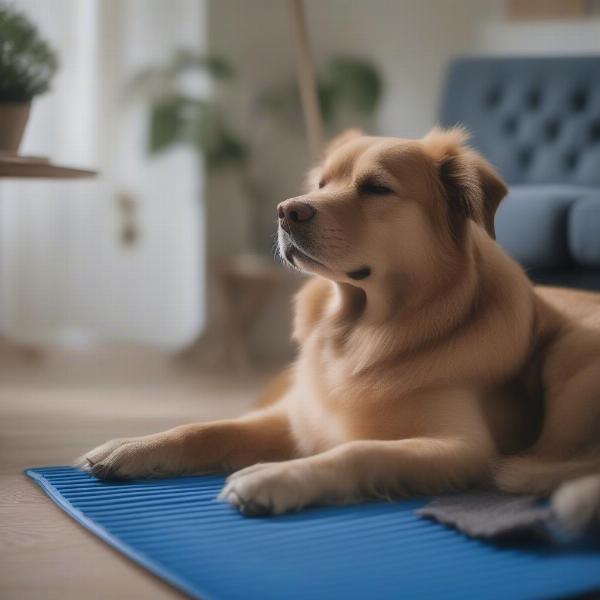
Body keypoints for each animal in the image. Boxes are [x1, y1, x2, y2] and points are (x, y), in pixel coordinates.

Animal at [81, 127, 600, 528]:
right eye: (320, 182)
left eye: (377, 188)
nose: (286, 210)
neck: (360, 331)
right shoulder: (295, 416)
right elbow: (207, 428)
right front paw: (134, 447)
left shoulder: (462, 448)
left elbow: (359, 452)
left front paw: (274, 478)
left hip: (570, 354)